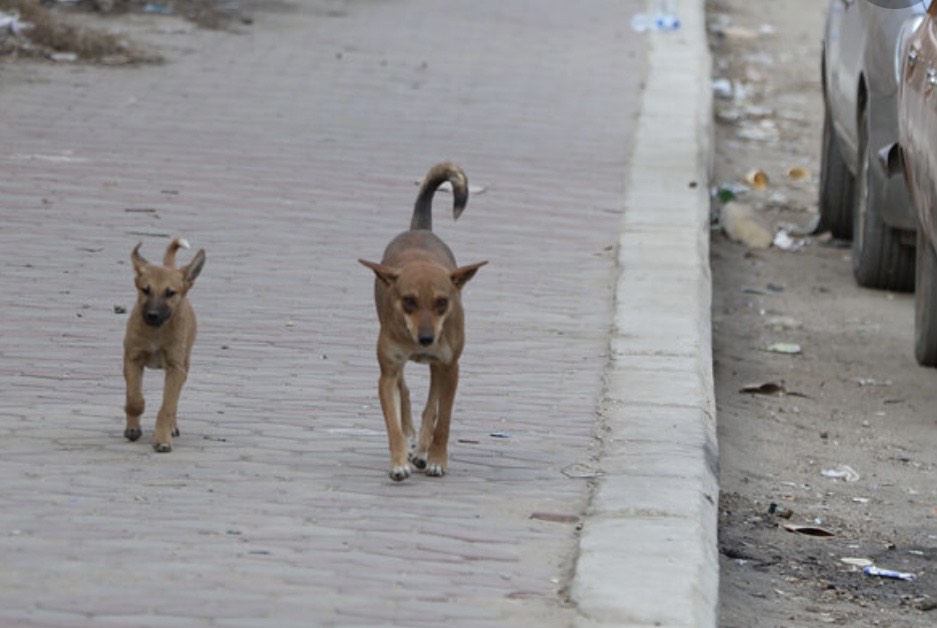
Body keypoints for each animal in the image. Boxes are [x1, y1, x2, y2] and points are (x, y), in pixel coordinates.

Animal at [122, 237, 205, 452]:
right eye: (145, 290)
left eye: (170, 293)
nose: (152, 315)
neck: (157, 332)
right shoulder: (132, 359)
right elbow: (134, 398)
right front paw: (133, 425)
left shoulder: (176, 368)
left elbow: (167, 407)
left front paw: (162, 438)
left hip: (185, 365)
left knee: (173, 403)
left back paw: (172, 427)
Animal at [360, 163, 490, 480]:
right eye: (408, 301)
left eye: (443, 302)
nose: (427, 339)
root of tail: (419, 229)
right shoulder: (387, 372)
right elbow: (392, 421)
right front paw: (398, 461)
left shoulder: (450, 368)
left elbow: (442, 419)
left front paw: (436, 458)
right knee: (405, 392)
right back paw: (412, 439)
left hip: (439, 367)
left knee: (431, 406)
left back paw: (422, 450)